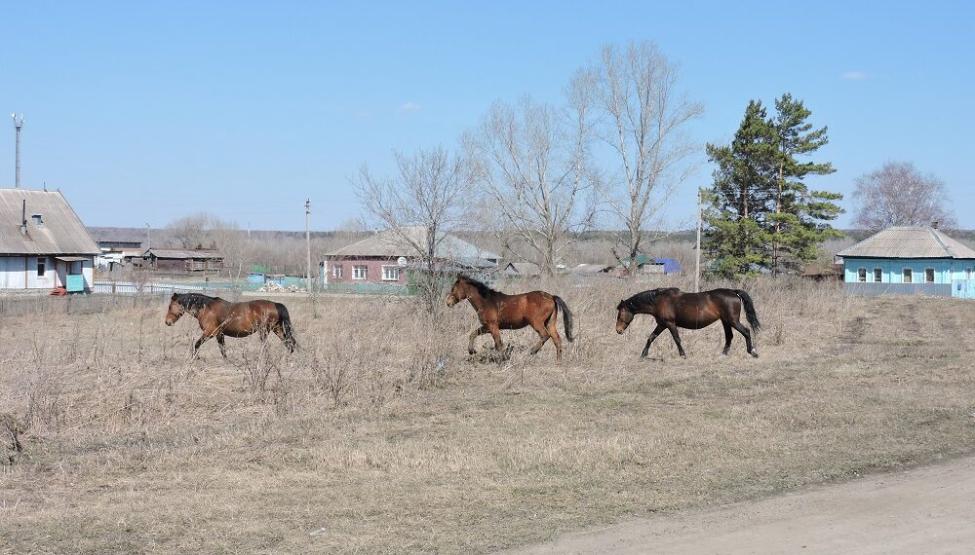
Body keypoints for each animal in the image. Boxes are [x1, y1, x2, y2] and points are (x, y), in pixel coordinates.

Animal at [165, 294, 298, 358]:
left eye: (170, 307)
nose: (167, 322)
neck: (206, 308)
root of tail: (275, 304)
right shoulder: (219, 334)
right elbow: (223, 349)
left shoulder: (210, 332)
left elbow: (197, 344)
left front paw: (195, 358)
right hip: (277, 329)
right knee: (289, 343)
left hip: (264, 331)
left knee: (268, 346)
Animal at [448, 276, 576, 362]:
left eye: (453, 288)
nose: (448, 303)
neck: (486, 302)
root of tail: (551, 297)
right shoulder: (487, 327)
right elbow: (473, 334)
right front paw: (472, 351)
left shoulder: (493, 326)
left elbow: (498, 343)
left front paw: (503, 359)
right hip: (550, 323)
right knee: (557, 340)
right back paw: (558, 361)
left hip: (537, 323)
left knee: (545, 335)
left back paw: (532, 351)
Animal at [616, 286, 764, 360]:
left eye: (620, 312)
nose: (618, 330)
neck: (659, 301)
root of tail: (733, 292)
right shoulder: (662, 324)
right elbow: (651, 337)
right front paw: (643, 355)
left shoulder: (669, 324)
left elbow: (677, 339)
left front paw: (683, 355)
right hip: (726, 321)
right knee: (729, 337)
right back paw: (723, 355)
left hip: (732, 320)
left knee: (746, 331)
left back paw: (753, 352)